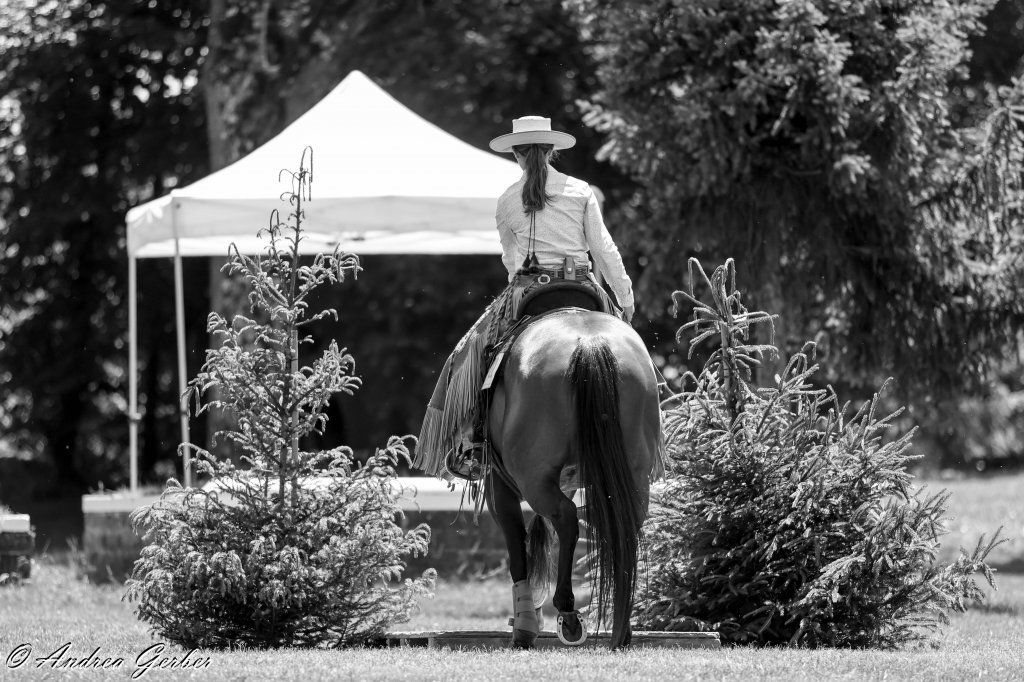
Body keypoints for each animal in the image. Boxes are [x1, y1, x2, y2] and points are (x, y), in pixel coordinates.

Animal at [485, 307, 662, 649]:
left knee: (566, 519)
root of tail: (590, 343)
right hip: (633, 474)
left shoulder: (499, 483)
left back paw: (567, 612)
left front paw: (524, 627)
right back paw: (621, 628)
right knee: (623, 526)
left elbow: (517, 544)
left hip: (534, 478)